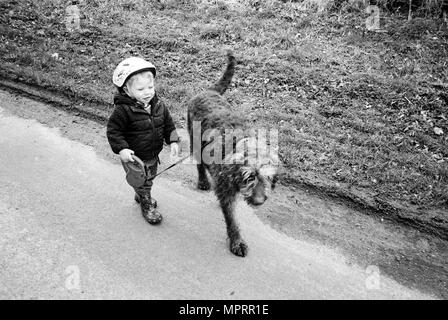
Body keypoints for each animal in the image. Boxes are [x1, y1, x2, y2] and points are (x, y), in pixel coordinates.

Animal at [186, 52, 278, 258]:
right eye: (249, 177)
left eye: (267, 177)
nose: (259, 201)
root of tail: (209, 91)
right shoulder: (227, 191)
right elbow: (232, 220)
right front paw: (237, 242)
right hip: (195, 142)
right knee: (199, 164)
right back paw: (203, 180)